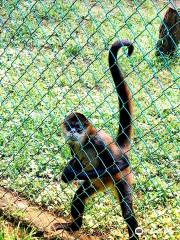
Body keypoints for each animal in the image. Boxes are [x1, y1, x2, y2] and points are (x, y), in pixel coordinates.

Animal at [52, 39, 140, 240]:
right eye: (69, 127)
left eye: (79, 128)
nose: (73, 132)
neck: (84, 142)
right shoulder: (72, 143)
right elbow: (75, 159)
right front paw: (70, 169)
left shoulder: (97, 140)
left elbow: (122, 162)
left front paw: (71, 174)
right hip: (97, 183)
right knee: (79, 196)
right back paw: (73, 227)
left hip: (122, 178)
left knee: (127, 213)